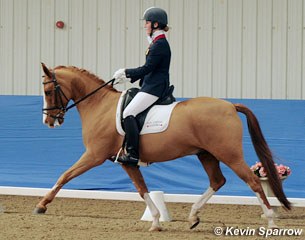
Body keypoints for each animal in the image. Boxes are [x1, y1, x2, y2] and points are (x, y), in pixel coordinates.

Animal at [34, 63, 288, 231]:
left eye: (47, 91)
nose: (48, 121)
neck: (100, 106)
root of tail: (230, 106)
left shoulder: (93, 155)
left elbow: (65, 175)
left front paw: (42, 205)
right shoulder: (127, 162)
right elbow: (142, 189)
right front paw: (156, 221)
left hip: (229, 154)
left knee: (253, 181)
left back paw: (270, 219)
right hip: (206, 154)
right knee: (217, 181)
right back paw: (193, 216)